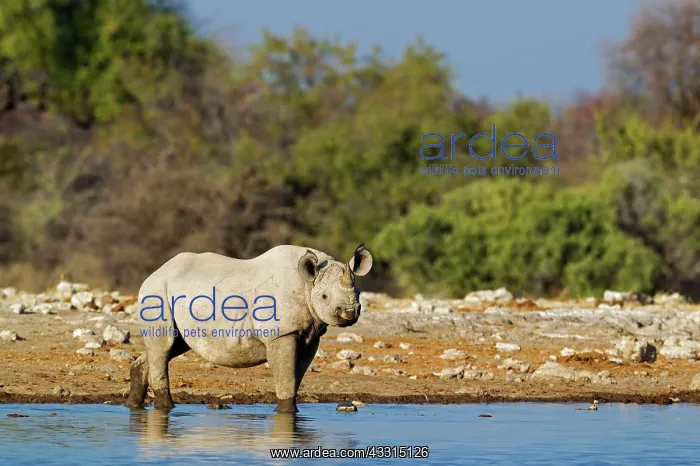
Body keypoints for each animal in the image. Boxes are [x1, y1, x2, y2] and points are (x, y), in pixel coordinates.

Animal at [126, 243, 373, 413]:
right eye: (324, 297)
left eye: (358, 293)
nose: (350, 312)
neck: (307, 284)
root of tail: (155, 273)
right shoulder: (281, 333)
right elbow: (286, 379)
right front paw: (285, 412)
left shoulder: (311, 336)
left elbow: (296, 377)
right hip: (157, 292)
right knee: (164, 346)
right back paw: (166, 408)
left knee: (170, 346)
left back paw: (134, 406)